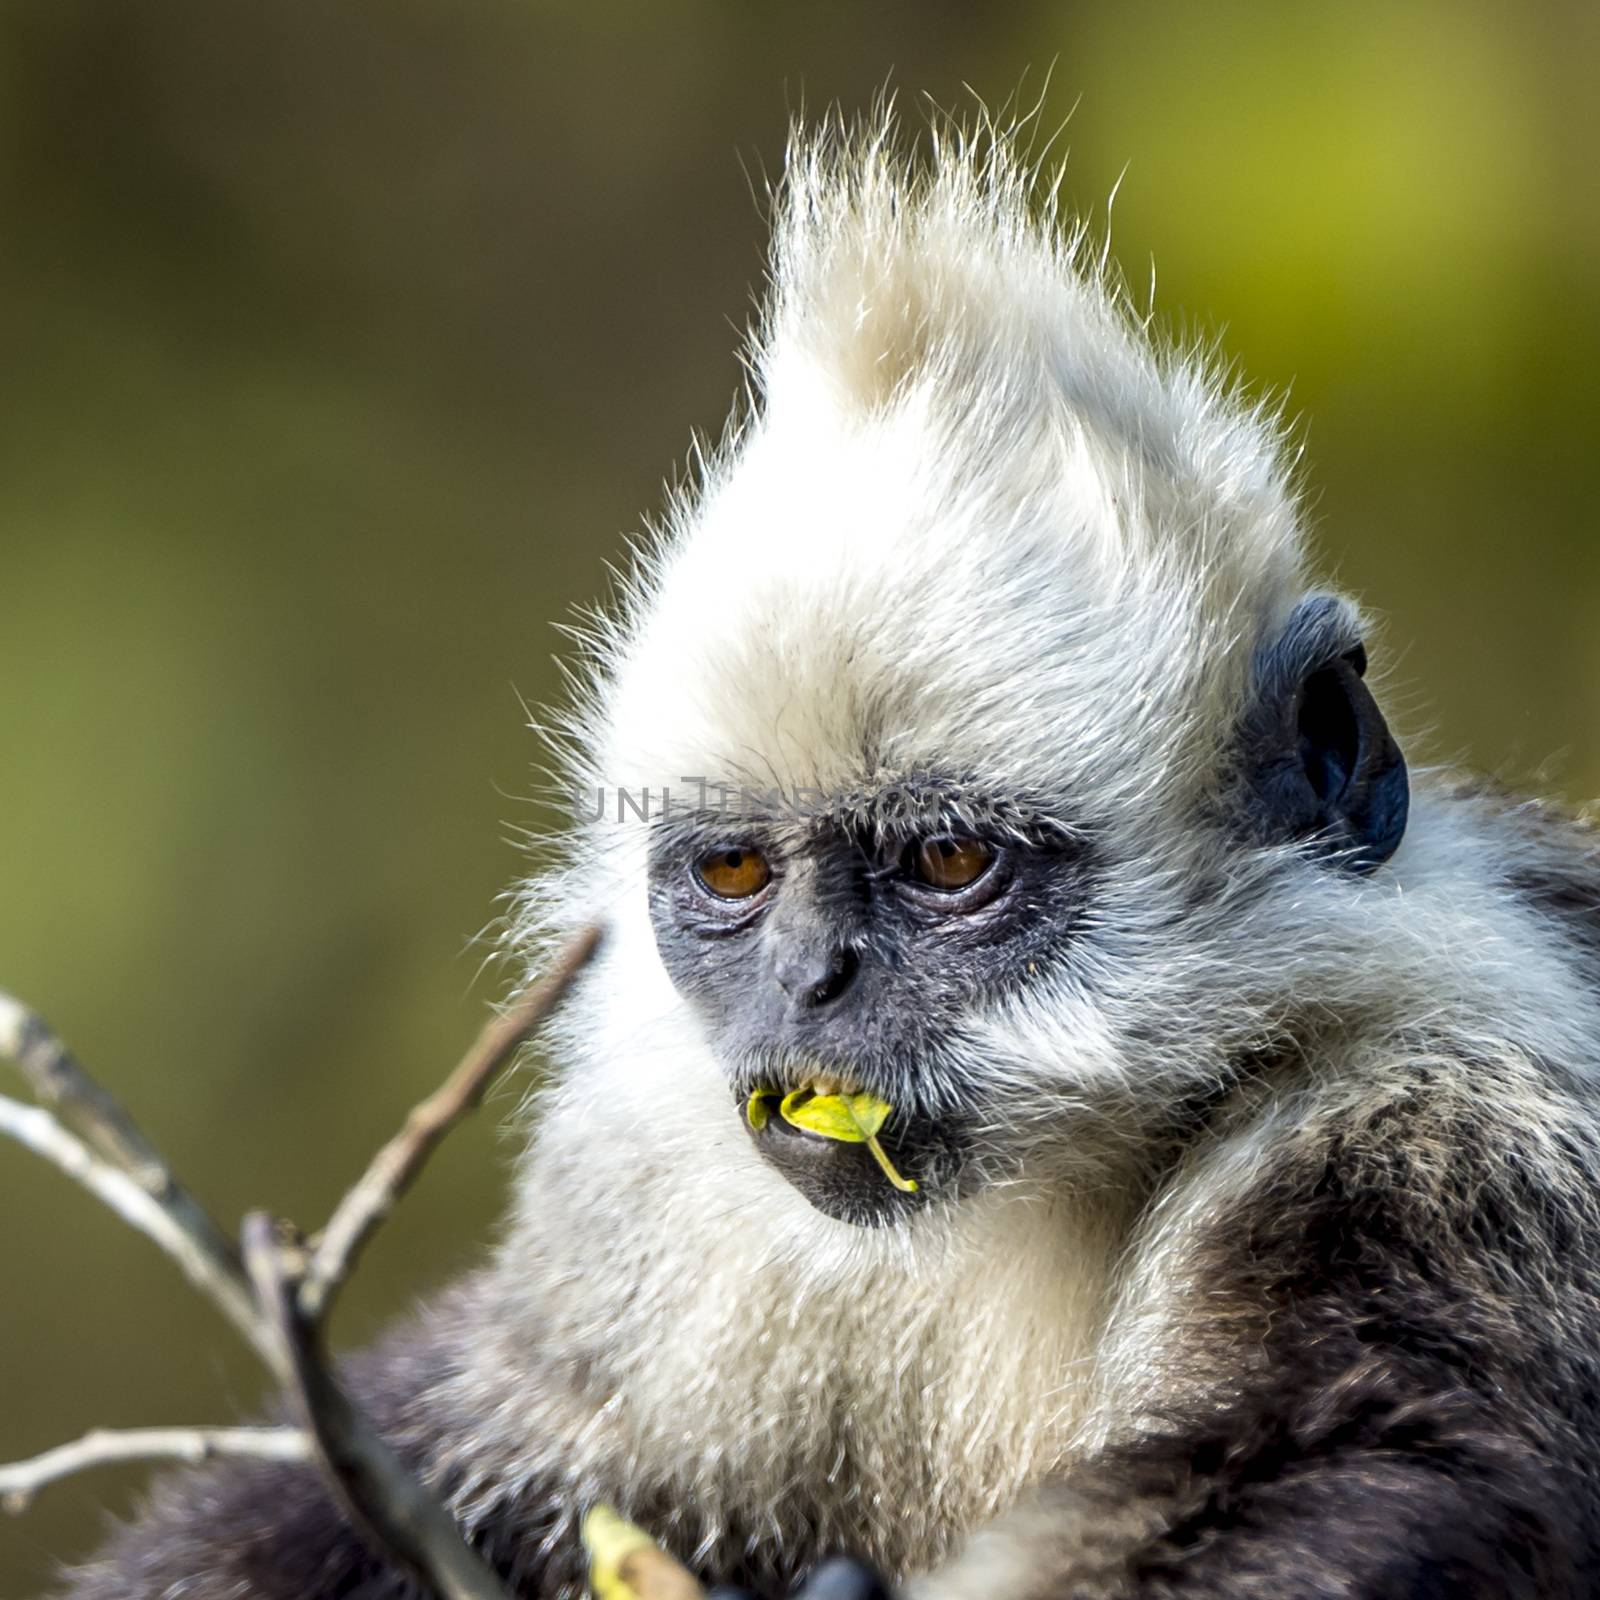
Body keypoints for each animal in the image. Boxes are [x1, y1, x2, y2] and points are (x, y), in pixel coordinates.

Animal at [50, 112, 1600, 1600]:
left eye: (949, 862)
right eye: (736, 877)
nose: (806, 982)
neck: (1039, 1207)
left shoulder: (1439, 1123)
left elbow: (1370, 1444)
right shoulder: (658, 1217)